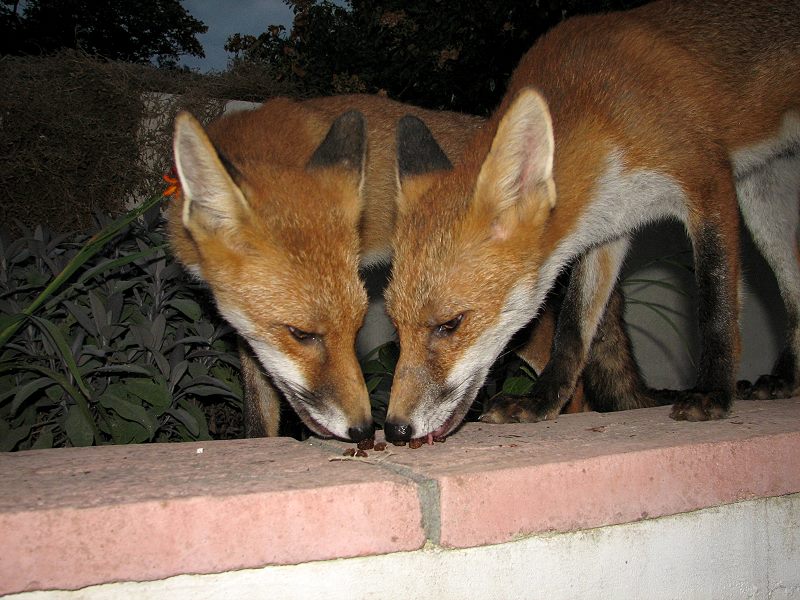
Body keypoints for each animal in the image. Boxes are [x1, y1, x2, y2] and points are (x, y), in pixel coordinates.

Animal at [383, 0, 800, 443]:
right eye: (395, 327)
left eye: (451, 324)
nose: (395, 429)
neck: (605, 115)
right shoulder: (607, 230)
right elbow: (572, 329)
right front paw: (541, 401)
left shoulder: (709, 182)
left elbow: (715, 306)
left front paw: (712, 393)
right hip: (763, 198)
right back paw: (788, 379)